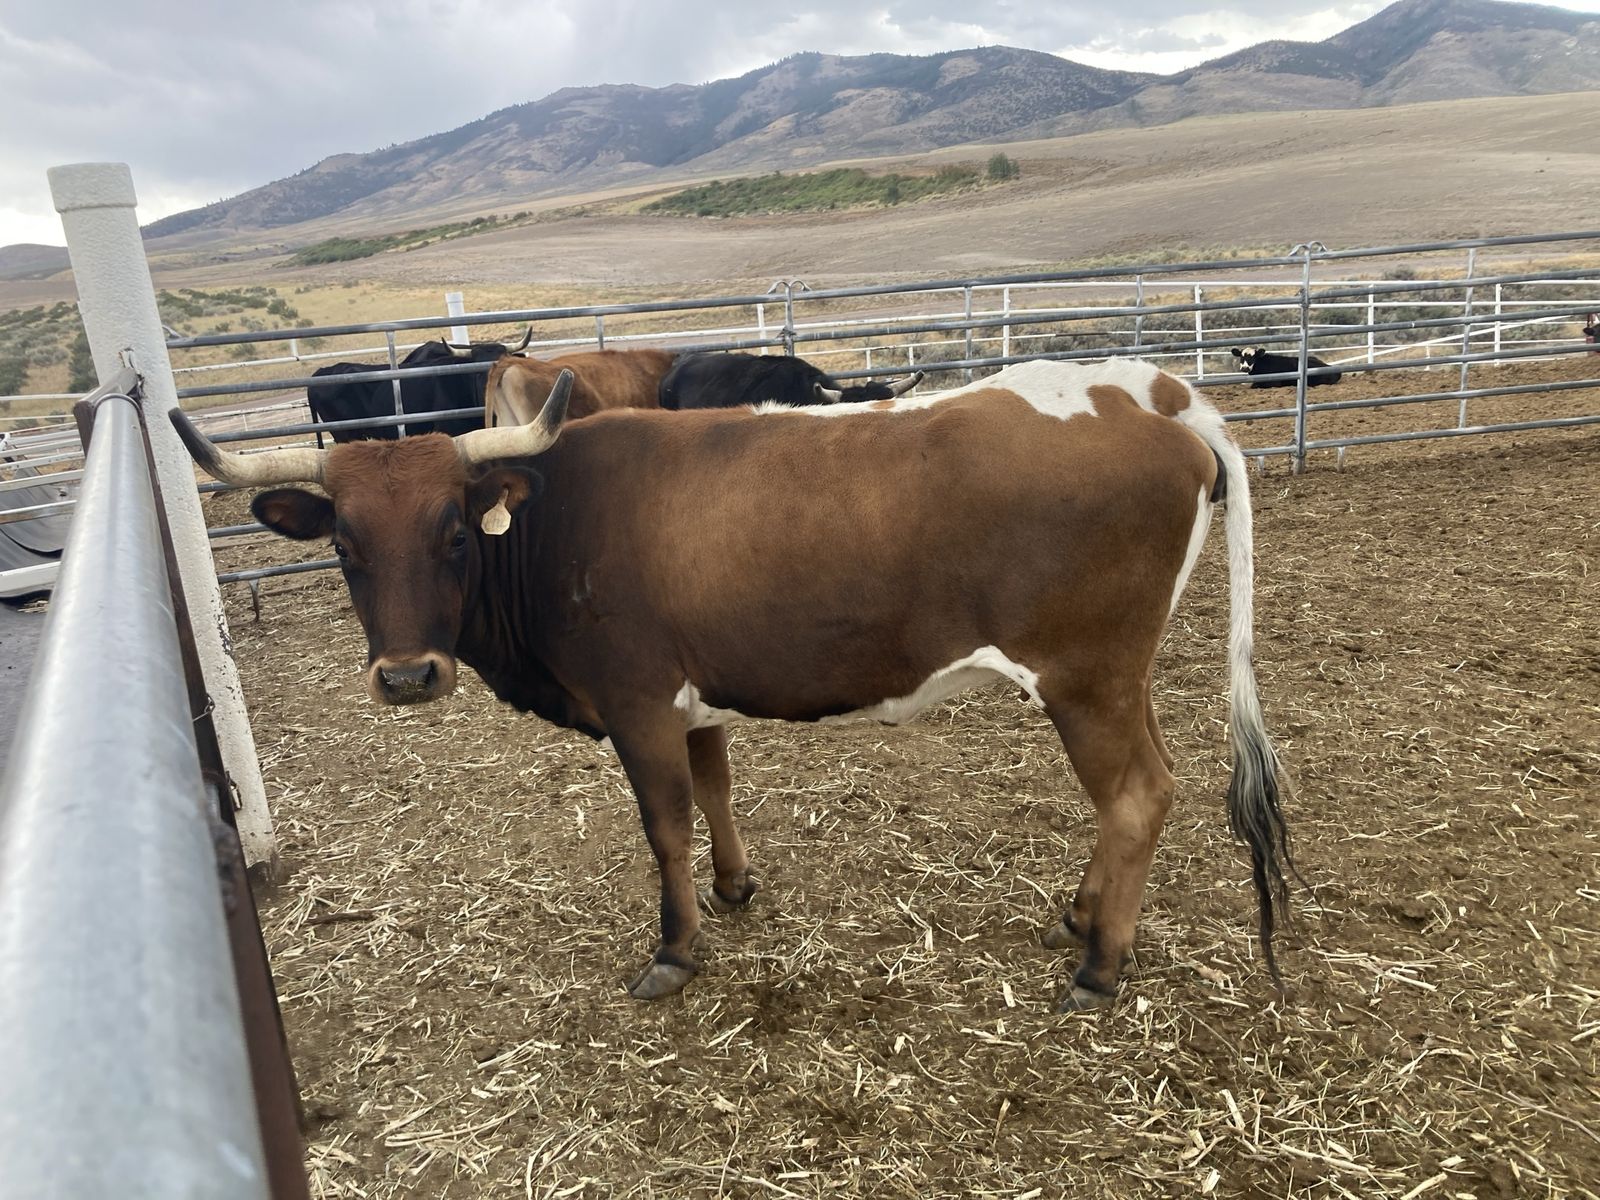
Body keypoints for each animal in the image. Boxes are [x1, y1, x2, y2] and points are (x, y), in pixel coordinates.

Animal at [171, 357, 1295, 1014]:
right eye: (346, 548)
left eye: (454, 531)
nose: (408, 674)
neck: (555, 519)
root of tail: (1152, 394)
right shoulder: (690, 697)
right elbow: (714, 788)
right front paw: (735, 886)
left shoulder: (634, 703)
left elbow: (664, 823)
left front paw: (675, 949)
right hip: (1115, 676)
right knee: (1135, 793)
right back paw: (1081, 914)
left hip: (1085, 676)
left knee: (1136, 795)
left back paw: (1099, 964)